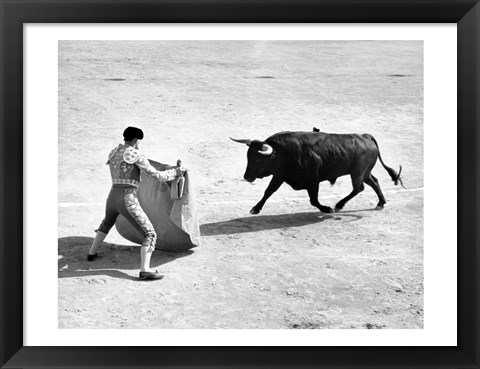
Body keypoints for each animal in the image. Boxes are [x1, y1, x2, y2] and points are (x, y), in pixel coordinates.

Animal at [231, 131, 404, 214]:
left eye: (258, 160)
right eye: (248, 157)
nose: (247, 177)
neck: (283, 152)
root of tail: (365, 137)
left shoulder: (313, 180)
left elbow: (313, 200)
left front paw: (326, 209)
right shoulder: (279, 175)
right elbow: (269, 191)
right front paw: (255, 208)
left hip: (357, 172)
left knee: (359, 187)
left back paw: (339, 205)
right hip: (364, 172)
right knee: (373, 182)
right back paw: (380, 203)